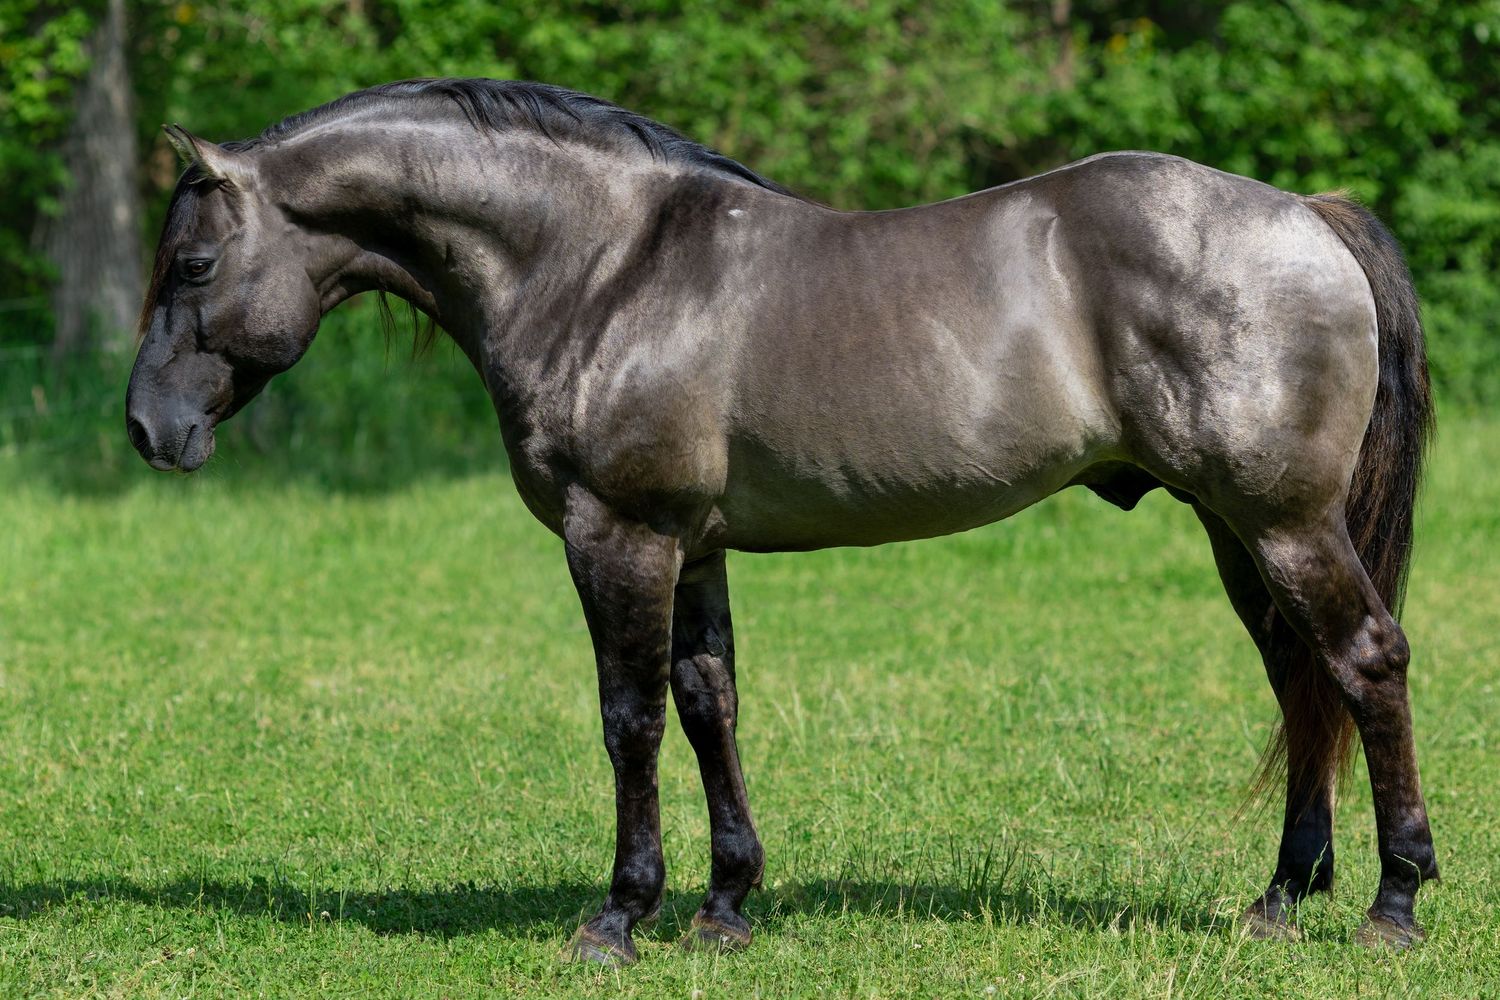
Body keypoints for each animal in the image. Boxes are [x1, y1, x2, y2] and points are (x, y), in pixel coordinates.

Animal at [125, 79, 1437, 963]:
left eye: (192, 265)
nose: (145, 430)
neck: (601, 267)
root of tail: (1306, 214)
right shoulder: (693, 546)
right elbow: (711, 705)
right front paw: (724, 904)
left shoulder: (620, 536)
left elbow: (630, 719)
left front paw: (621, 913)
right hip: (1238, 530)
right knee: (1302, 681)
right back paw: (1282, 899)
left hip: (1282, 522)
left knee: (1365, 662)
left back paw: (1395, 902)